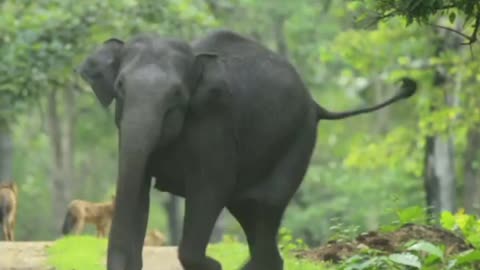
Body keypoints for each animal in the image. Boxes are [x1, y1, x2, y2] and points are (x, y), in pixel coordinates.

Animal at [77, 29, 414, 270]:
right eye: (120, 87)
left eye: (176, 94)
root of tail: (316, 105)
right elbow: (136, 190)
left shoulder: (215, 123)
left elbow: (210, 188)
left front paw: (213, 264)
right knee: (251, 214)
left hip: (297, 141)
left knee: (264, 209)